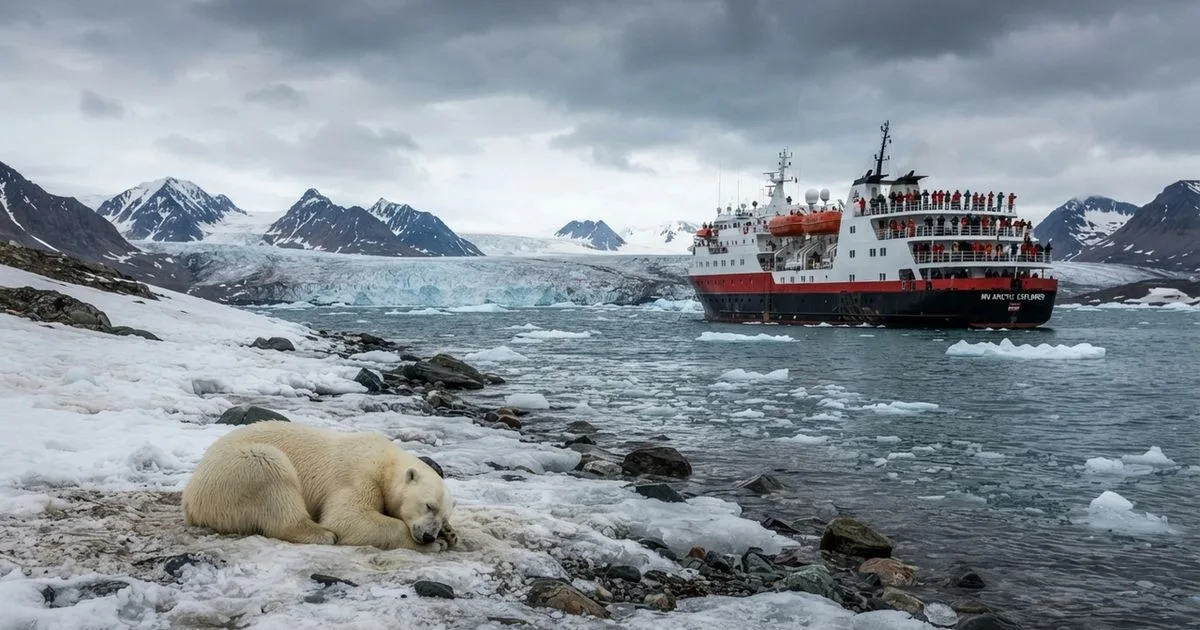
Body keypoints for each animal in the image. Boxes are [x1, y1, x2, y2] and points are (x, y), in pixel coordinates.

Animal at [181, 420, 456, 552]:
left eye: (443, 516)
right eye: (428, 505)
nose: (428, 535)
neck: (385, 462)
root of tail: (190, 499)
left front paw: (450, 535)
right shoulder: (358, 477)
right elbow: (348, 518)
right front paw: (436, 544)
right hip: (238, 469)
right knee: (272, 472)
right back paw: (321, 534)